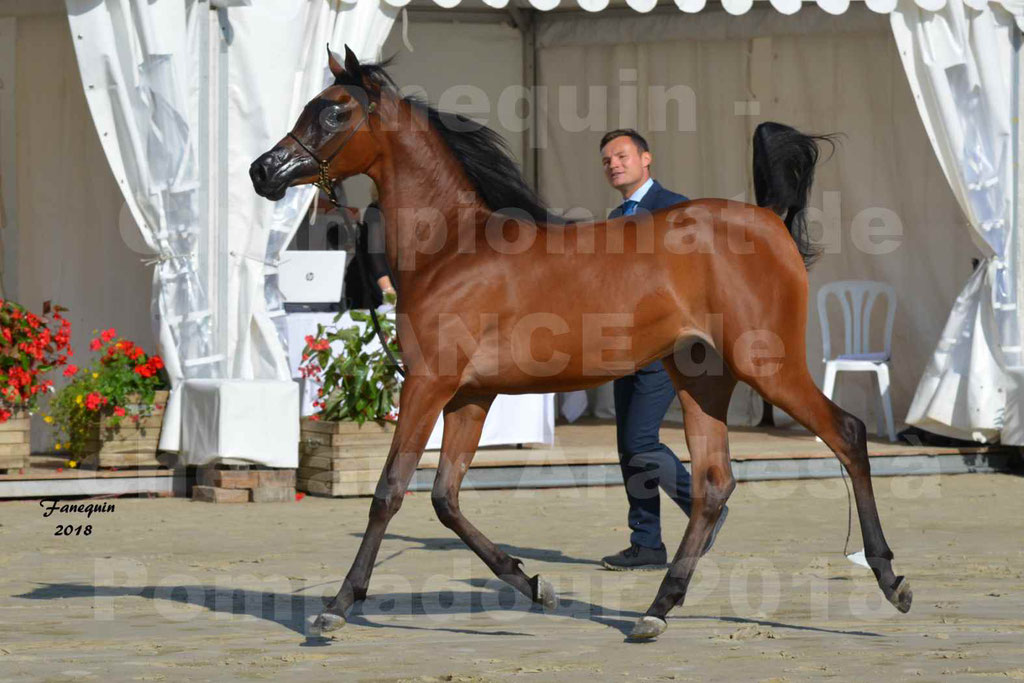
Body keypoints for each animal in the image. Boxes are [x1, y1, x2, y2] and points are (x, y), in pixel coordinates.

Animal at [249, 45, 913, 638]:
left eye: (335, 111)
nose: (264, 171)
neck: (455, 249)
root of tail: (770, 219)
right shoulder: (470, 395)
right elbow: (445, 496)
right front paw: (533, 585)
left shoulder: (429, 383)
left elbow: (389, 491)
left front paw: (337, 606)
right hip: (701, 376)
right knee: (713, 484)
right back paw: (656, 610)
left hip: (767, 364)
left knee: (848, 435)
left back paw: (890, 580)